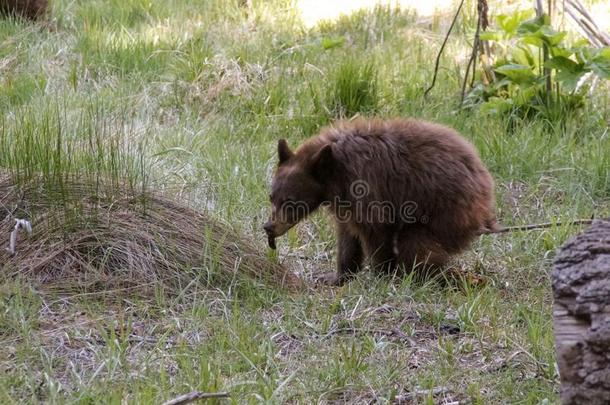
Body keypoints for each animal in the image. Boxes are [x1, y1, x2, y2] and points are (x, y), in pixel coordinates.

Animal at [260, 118, 494, 286]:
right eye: (272, 197)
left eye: (290, 202)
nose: (269, 227)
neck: (334, 173)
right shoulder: (345, 201)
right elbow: (348, 236)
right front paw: (336, 277)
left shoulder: (364, 185)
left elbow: (374, 229)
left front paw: (382, 273)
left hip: (446, 209)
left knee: (416, 242)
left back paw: (423, 276)